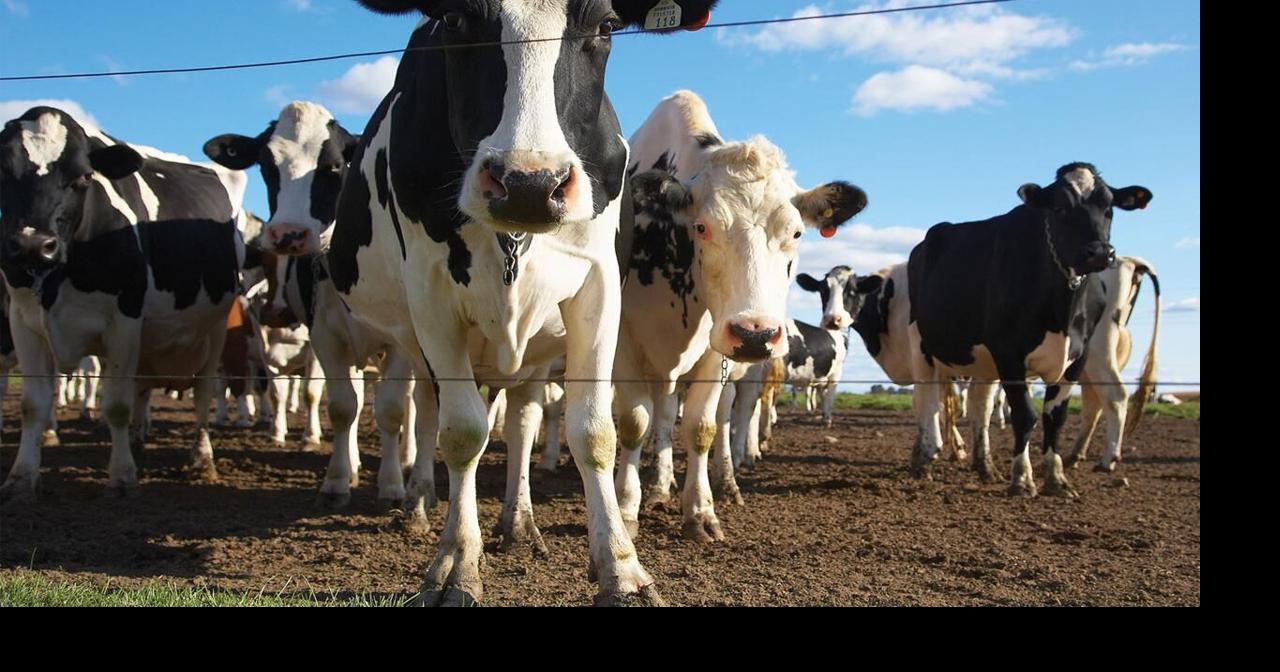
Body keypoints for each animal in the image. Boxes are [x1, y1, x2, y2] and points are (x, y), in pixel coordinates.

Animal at [0, 106, 247, 500]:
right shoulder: (23, 322)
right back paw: (136, 440)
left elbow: (116, 405)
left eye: (84, 176)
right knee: (142, 388)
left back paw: (202, 458)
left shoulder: (125, 321)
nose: (32, 245)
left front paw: (122, 477)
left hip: (216, 329)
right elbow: (33, 406)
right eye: (3, 170)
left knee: (203, 392)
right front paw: (21, 478)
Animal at [614, 90, 867, 542]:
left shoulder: (716, 350)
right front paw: (627, 509)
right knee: (661, 415)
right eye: (701, 227)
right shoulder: (623, 340)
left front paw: (700, 511)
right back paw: (658, 486)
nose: (755, 334)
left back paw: (719, 483)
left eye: (796, 232)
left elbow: (702, 427)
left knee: (717, 413)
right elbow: (634, 422)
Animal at [907, 162, 1152, 496]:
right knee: (927, 400)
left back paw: (986, 466)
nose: (1100, 252)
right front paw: (1023, 478)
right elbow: (1025, 415)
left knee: (980, 406)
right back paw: (924, 458)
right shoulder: (1009, 352)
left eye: (1108, 207)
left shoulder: (1078, 357)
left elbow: (1055, 417)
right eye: (1060, 208)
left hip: (984, 361)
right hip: (922, 344)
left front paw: (1056, 478)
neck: (1062, 308)